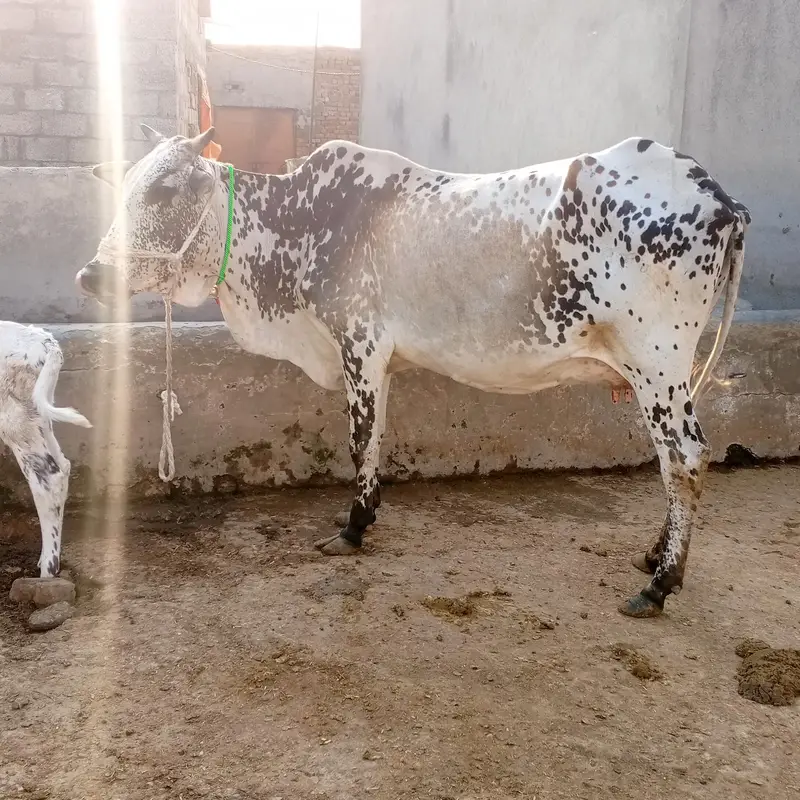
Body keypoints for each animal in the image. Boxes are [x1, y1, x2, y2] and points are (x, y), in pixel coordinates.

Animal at [0, 321, 92, 577]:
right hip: (39, 416)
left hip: (15, 420)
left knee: (48, 481)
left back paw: (48, 572)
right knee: (63, 467)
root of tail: (44, 339)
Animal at [75, 124, 749, 618]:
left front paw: (353, 529)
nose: (90, 275)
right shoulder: (381, 361)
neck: (298, 227)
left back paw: (661, 582)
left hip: (659, 367)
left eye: (165, 192)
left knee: (685, 459)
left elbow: (359, 441)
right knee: (674, 465)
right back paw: (653, 558)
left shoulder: (360, 346)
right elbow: (376, 439)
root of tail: (720, 197)